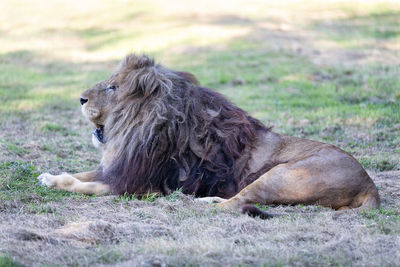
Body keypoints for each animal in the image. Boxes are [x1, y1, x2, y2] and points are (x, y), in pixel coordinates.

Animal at [39, 53, 380, 219]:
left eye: (112, 87)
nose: (80, 99)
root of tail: (370, 186)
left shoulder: (136, 184)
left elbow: (81, 183)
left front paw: (56, 181)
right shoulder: (119, 169)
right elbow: (81, 173)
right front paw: (48, 175)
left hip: (281, 175)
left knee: (237, 203)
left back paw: (197, 204)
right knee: (239, 198)